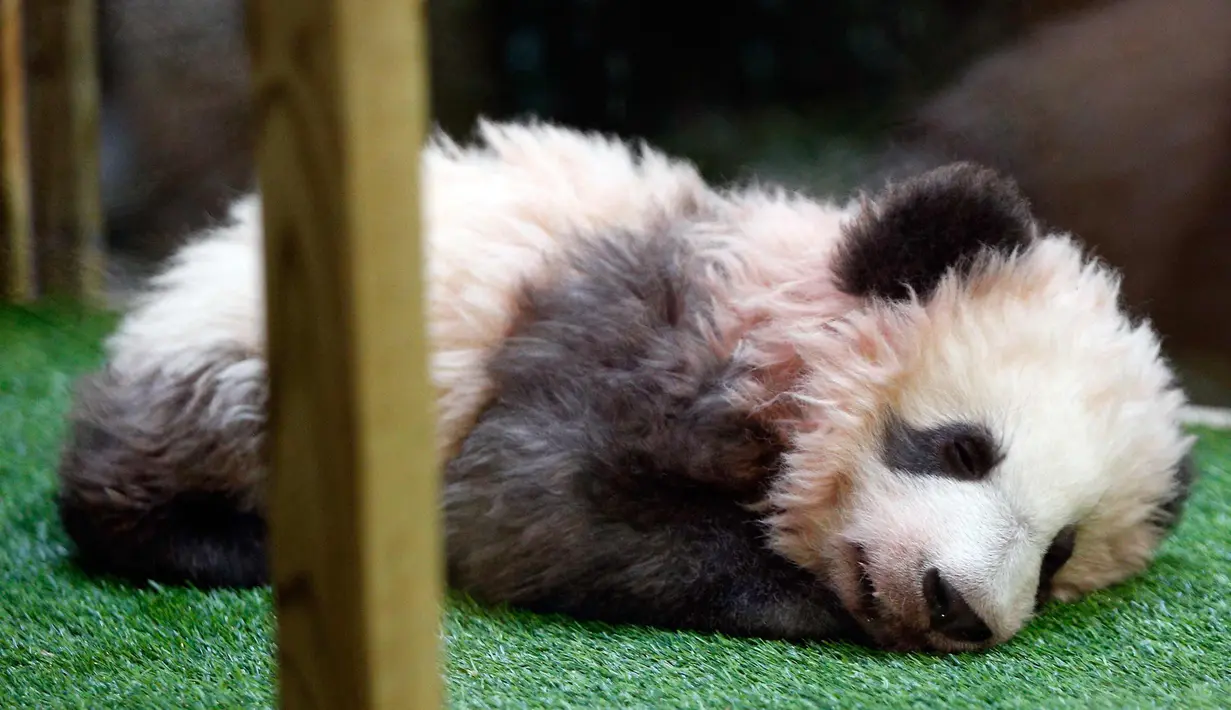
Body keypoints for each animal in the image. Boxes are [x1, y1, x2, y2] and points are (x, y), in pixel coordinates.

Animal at [56, 119, 1196, 654]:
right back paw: (214, 535)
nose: (957, 608)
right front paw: (800, 595)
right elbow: (531, 504)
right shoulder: (610, 329)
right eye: (961, 447)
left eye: (1060, 551)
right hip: (244, 353)